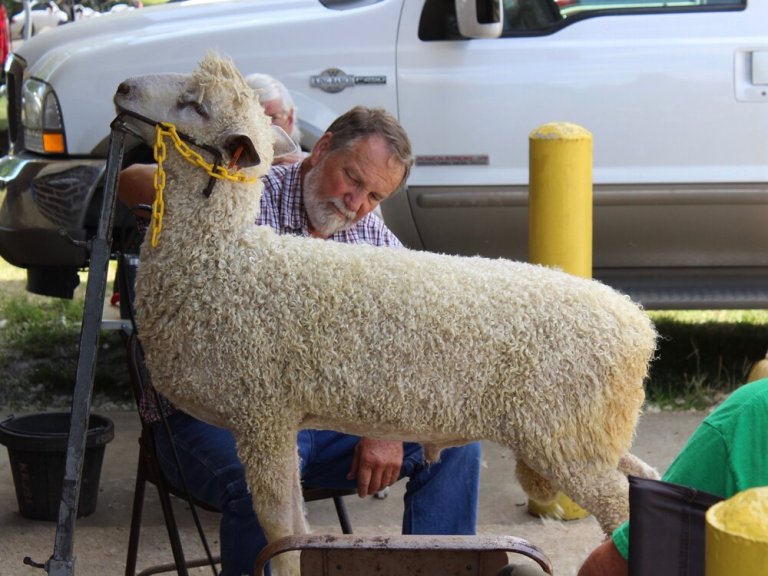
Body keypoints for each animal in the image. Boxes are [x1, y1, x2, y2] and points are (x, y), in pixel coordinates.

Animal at [114, 53, 659, 576]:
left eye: (195, 105)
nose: (121, 88)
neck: (222, 260)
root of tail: (640, 329)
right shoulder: (278, 421)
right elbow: (294, 525)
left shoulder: (262, 414)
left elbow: (281, 531)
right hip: (588, 432)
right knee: (645, 478)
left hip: (566, 437)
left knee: (622, 510)